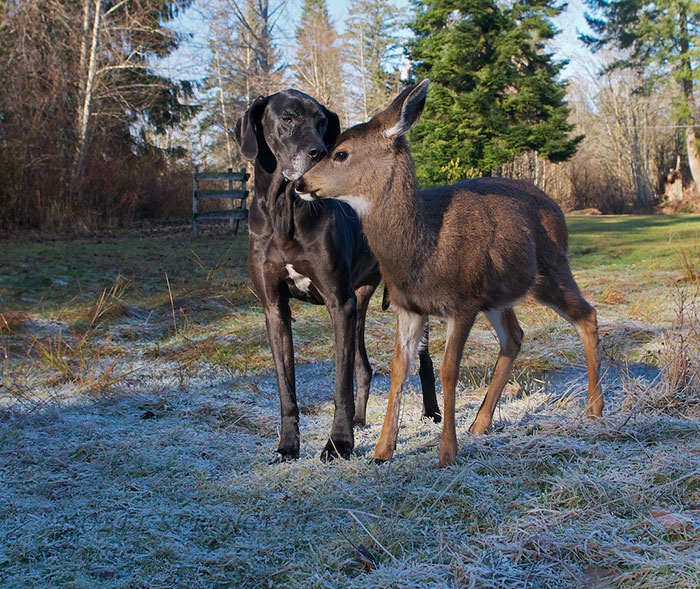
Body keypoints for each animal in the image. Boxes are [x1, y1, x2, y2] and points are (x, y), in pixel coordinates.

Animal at [235, 89, 438, 462]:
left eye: (321, 121)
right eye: (287, 118)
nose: (318, 152)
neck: (285, 213)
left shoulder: (338, 303)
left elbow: (340, 386)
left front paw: (339, 444)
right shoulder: (275, 309)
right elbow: (287, 389)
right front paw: (288, 446)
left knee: (423, 361)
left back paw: (431, 412)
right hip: (358, 301)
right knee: (363, 366)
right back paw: (360, 419)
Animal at [296, 78, 600, 466]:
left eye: (341, 154)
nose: (300, 183)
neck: (425, 247)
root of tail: (558, 208)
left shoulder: (463, 301)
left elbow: (448, 370)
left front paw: (447, 452)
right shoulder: (408, 305)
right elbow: (399, 367)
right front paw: (382, 451)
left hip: (551, 269)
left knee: (587, 315)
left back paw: (594, 409)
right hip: (499, 294)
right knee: (514, 336)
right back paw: (480, 423)